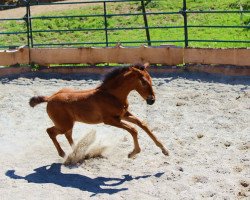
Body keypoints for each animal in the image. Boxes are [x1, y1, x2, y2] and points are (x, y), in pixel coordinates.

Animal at [29, 63, 170, 158]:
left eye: (151, 80)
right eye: (144, 82)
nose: (152, 100)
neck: (112, 95)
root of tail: (50, 98)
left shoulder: (123, 115)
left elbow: (143, 124)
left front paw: (164, 150)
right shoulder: (109, 120)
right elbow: (133, 130)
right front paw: (133, 153)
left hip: (68, 123)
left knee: (67, 135)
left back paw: (76, 152)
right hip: (64, 124)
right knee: (50, 131)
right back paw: (63, 153)